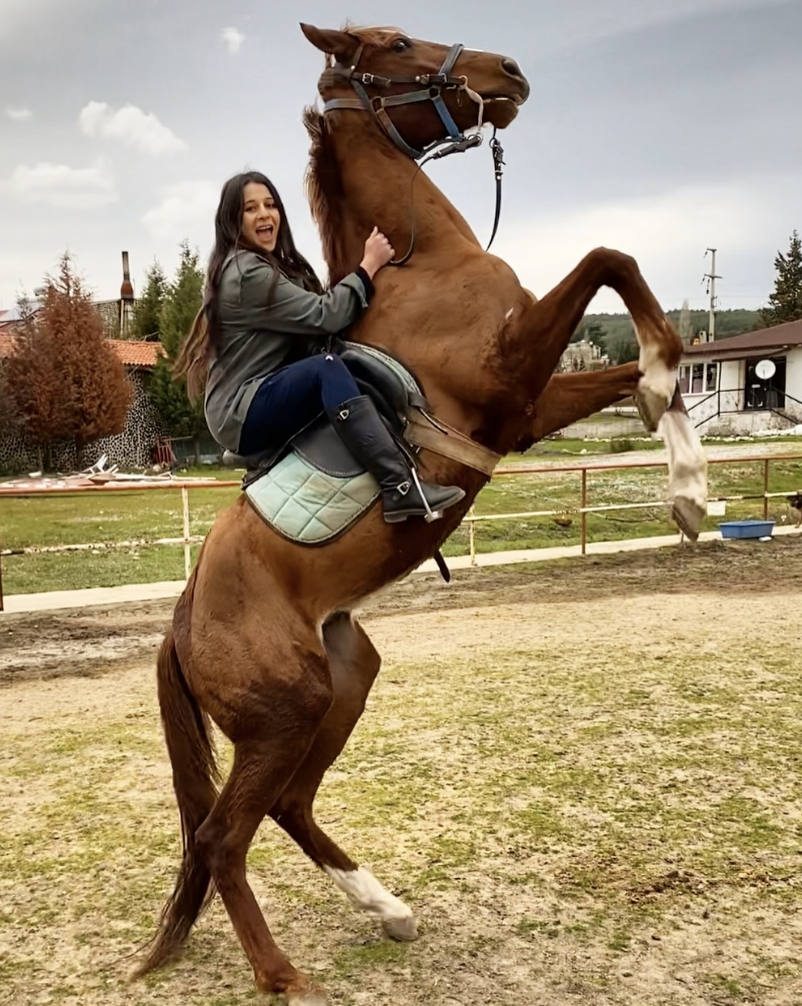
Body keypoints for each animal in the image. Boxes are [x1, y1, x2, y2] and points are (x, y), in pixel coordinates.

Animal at [137, 19, 708, 1001]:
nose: (509, 71)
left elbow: (642, 368)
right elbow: (613, 259)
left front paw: (690, 485)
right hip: (284, 713)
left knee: (287, 807)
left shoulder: (524, 410)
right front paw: (675, 425)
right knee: (221, 838)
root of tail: (182, 620)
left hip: (341, 681)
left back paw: (389, 909)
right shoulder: (509, 376)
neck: (422, 263)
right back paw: (282, 973)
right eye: (397, 41)